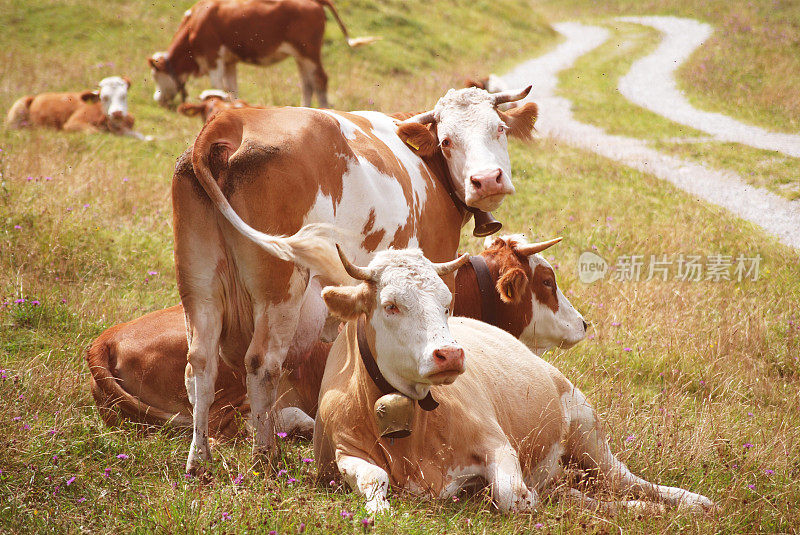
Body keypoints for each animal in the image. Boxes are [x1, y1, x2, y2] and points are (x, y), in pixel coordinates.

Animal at [4, 78, 150, 141]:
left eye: (124, 95)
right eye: (104, 97)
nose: (117, 113)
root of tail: (36, 96)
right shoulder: (72, 123)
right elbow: (95, 131)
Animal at [149, 0, 378, 108]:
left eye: (155, 75)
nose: (157, 99)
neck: (196, 22)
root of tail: (314, 1)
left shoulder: (213, 57)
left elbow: (216, 88)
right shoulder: (230, 61)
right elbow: (231, 90)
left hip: (309, 51)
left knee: (320, 80)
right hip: (300, 56)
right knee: (308, 83)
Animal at [174, 85, 536, 474]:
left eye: (499, 128)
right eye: (447, 140)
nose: (486, 181)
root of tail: (229, 121)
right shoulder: (438, 269)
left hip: (199, 286)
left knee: (200, 365)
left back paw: (200, 460)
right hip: (280, 289)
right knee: (262, 365)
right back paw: (266, 457)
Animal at [310, 246, 712, 516]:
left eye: (446, 303)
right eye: (391, 305)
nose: (450, 355)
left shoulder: (497, 443)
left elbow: (513, 496)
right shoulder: (343, 451)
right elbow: (373, 479)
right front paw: (379, 509)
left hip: (588, 434)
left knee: (623, 480)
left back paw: (689, 501)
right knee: (585, 493)